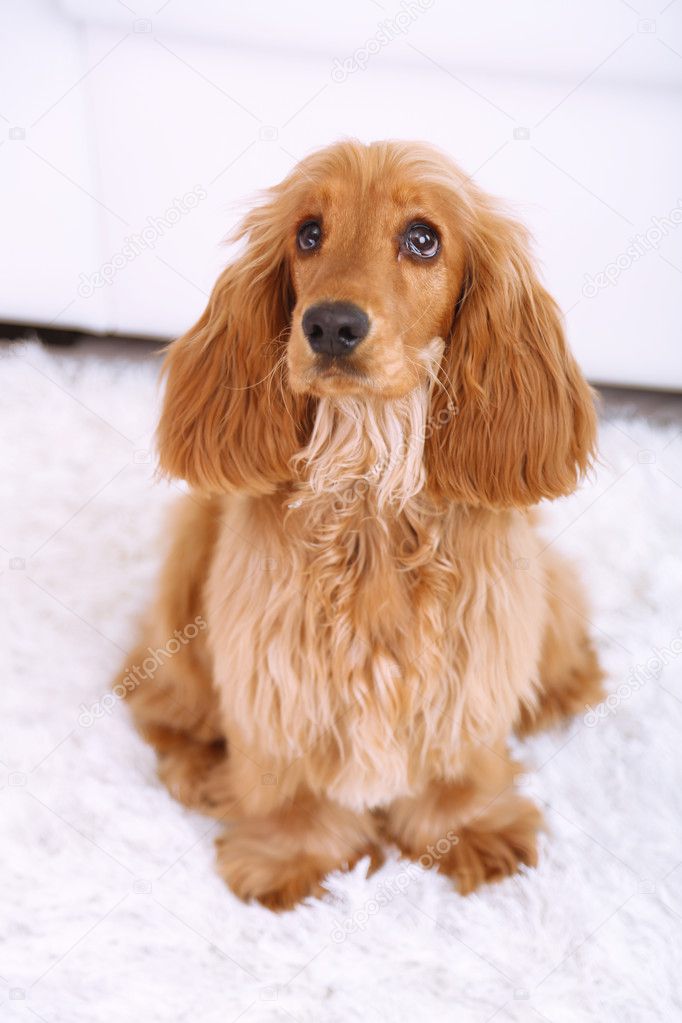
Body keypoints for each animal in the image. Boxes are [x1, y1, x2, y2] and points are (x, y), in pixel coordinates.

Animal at [120, 138, 605, 912]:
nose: (330, 325)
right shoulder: (274, 653)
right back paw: (197, 768)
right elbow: (286, 772)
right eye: (308, 233)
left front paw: (467, 829)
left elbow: (459, 757)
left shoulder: (474, 644)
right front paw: (293, 854)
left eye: (423, 238)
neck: (370, 484)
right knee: (160, 697)